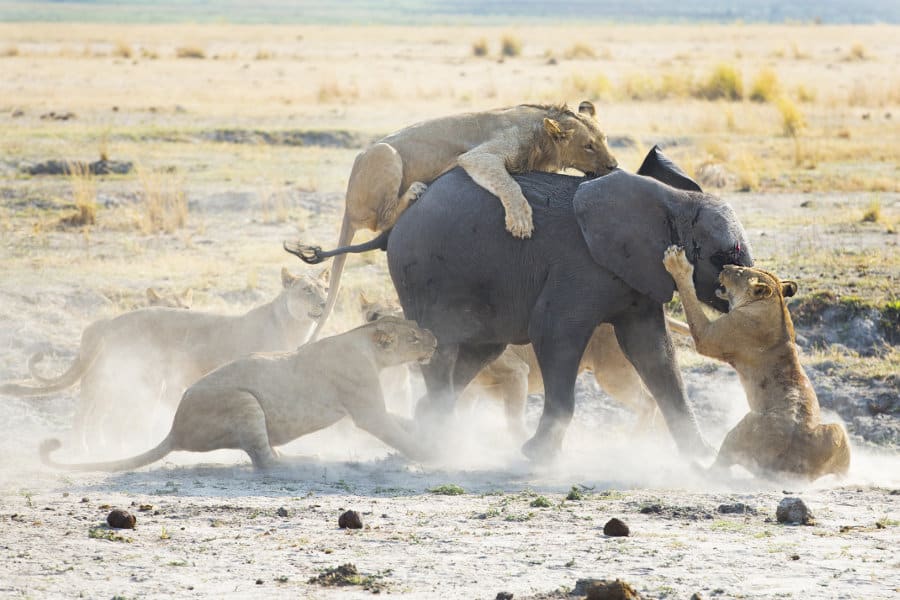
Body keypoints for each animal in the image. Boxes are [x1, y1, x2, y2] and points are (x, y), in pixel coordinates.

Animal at [2, 268, 328, 455]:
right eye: (306, 290)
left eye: (324, 288)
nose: (326, 303)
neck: (293, 324)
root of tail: (110, 322)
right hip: (120, 377)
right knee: (88, 414)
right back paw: (88, 448)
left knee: (100, 414)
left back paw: (105, 447)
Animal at [39, 316, 438, 471]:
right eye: (414, 337)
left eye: (414, 326)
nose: (434, 338)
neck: (365, 343)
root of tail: (174, 430)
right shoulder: (367, 410)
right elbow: (397, 433)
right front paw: (434, 453)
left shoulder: (373, 406)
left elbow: (402, 422)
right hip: (244, 402)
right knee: (264, 461)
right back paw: (306, 460)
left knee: (265, 453)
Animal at [286, 147, 752, 461]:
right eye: (722, 256)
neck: (669, 200)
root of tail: (392, 227)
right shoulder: (577, 266)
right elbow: (556, 336)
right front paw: (536, 456)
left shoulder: (635, 276)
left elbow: (655, 352)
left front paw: (701, 457)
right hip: (424, 275)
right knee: (443, 348)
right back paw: (438, 441)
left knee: (477, 351)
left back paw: (432, 429)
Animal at [291, 101, 618, 339]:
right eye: (588, 146)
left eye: (604, 139)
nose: (614, 165)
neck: (541, 133)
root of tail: (347, 203)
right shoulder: (482, 155)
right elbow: (508, 183)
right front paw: (520, 220)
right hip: (387, 155)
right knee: (379, 221)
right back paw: (414, 191)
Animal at [662, 245, 851, 481]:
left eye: (740, 272)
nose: (725, 266)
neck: (774, 304)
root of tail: (786, 467)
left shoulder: (709, 336)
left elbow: (690, 299)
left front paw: (677, 263)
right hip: (838, 430)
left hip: (746, 423)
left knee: (718, 468)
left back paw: (697, 466)